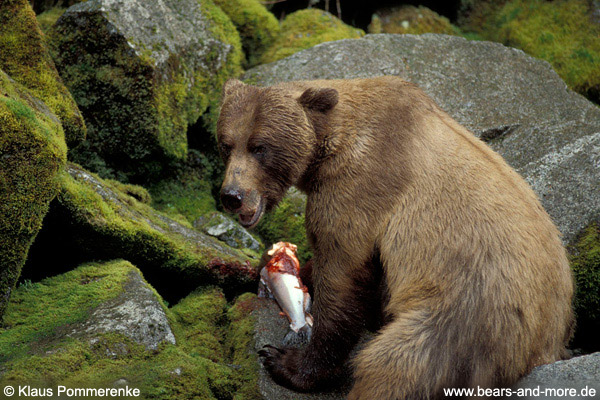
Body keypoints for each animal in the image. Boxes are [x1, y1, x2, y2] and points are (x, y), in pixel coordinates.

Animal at [218, 76, 576, 398]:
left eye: (260, 147)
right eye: (225, 144)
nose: (231, 195)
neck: (330, 143)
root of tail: (544, 345)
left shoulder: (361, 185)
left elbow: (342, 274)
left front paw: (284, 362)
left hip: (465, 320)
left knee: (393, 366)